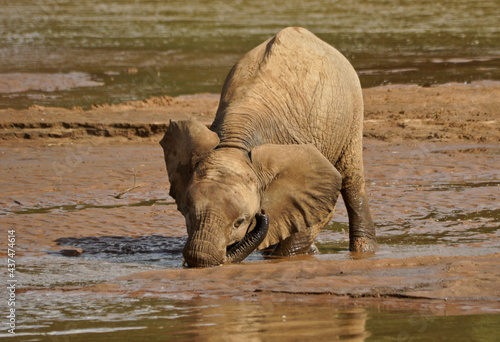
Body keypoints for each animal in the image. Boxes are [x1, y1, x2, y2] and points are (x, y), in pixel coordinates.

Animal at [162, 26, 376, 268]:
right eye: (186, 212)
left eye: (240, 222)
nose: (260, 216)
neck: (236, 140)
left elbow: (320, 214)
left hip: (352, 113)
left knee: (352, 180)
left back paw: (364, 252)